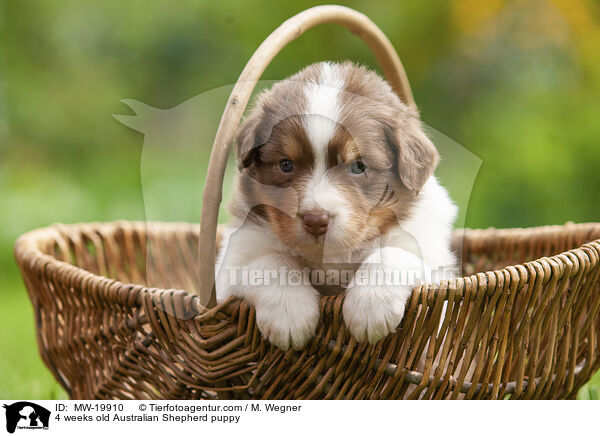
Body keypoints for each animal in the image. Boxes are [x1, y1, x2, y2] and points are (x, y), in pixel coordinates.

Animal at [218, 60, 458, 350]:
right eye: (285, 164)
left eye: (358, 166)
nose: (315, 220)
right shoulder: (232, 261)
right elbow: (269, 261)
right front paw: (289, 316)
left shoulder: (435, 262)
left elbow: (393, 254)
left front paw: (370, 309)